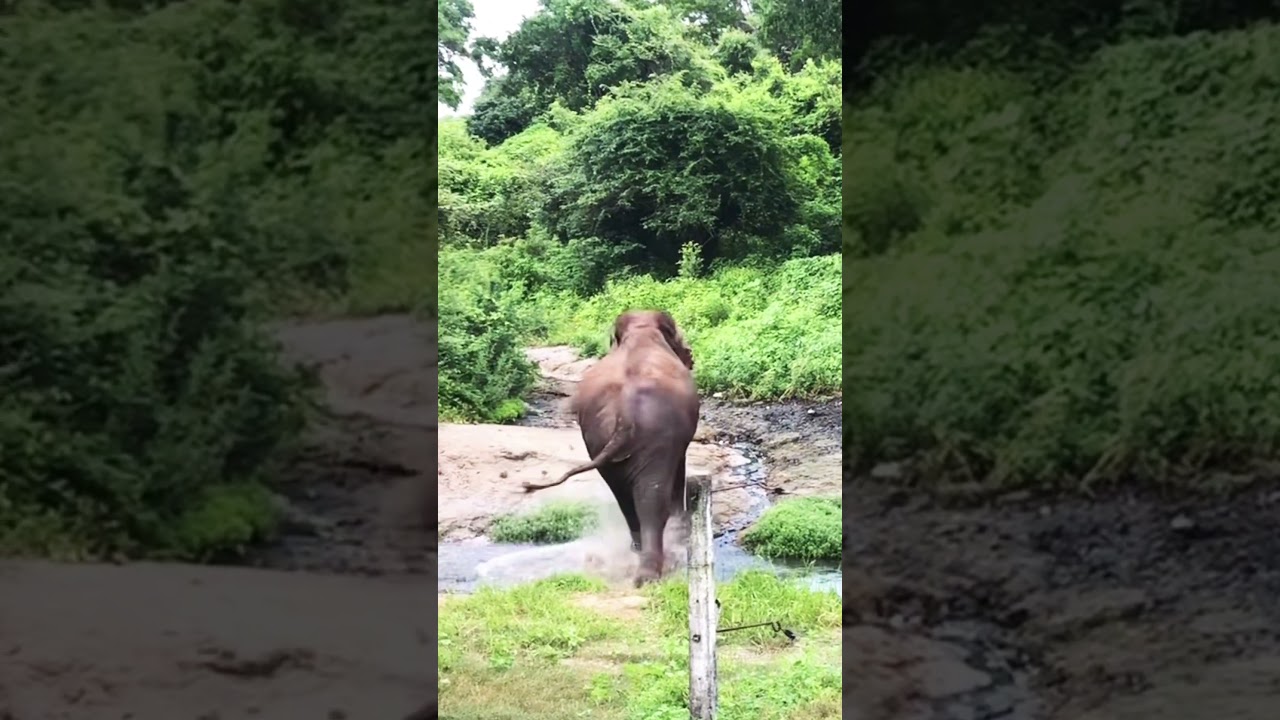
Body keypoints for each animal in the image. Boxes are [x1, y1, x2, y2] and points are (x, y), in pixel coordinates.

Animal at [522, 309, 698, 587]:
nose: (691, 355)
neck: (641, 332)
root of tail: (625, 413)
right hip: (655, 438)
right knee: (652, 499)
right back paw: (652, 572)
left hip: (597, 440)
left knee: (623, 496)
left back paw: (638, 554)